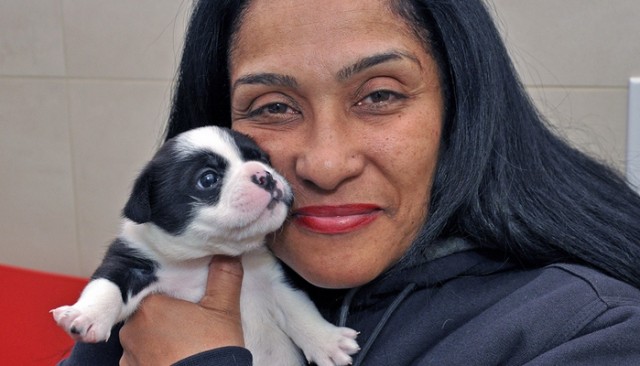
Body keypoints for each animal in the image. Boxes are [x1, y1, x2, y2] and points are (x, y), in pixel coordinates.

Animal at [50, 126, 360, 366]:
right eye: (208, 179)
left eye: (261, 158)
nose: (265, 175)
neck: (203, 257)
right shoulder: (131, 262)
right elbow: (107, 285)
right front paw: (86, 314)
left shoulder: (274, 282)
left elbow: (300, 309)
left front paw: (328, 341)